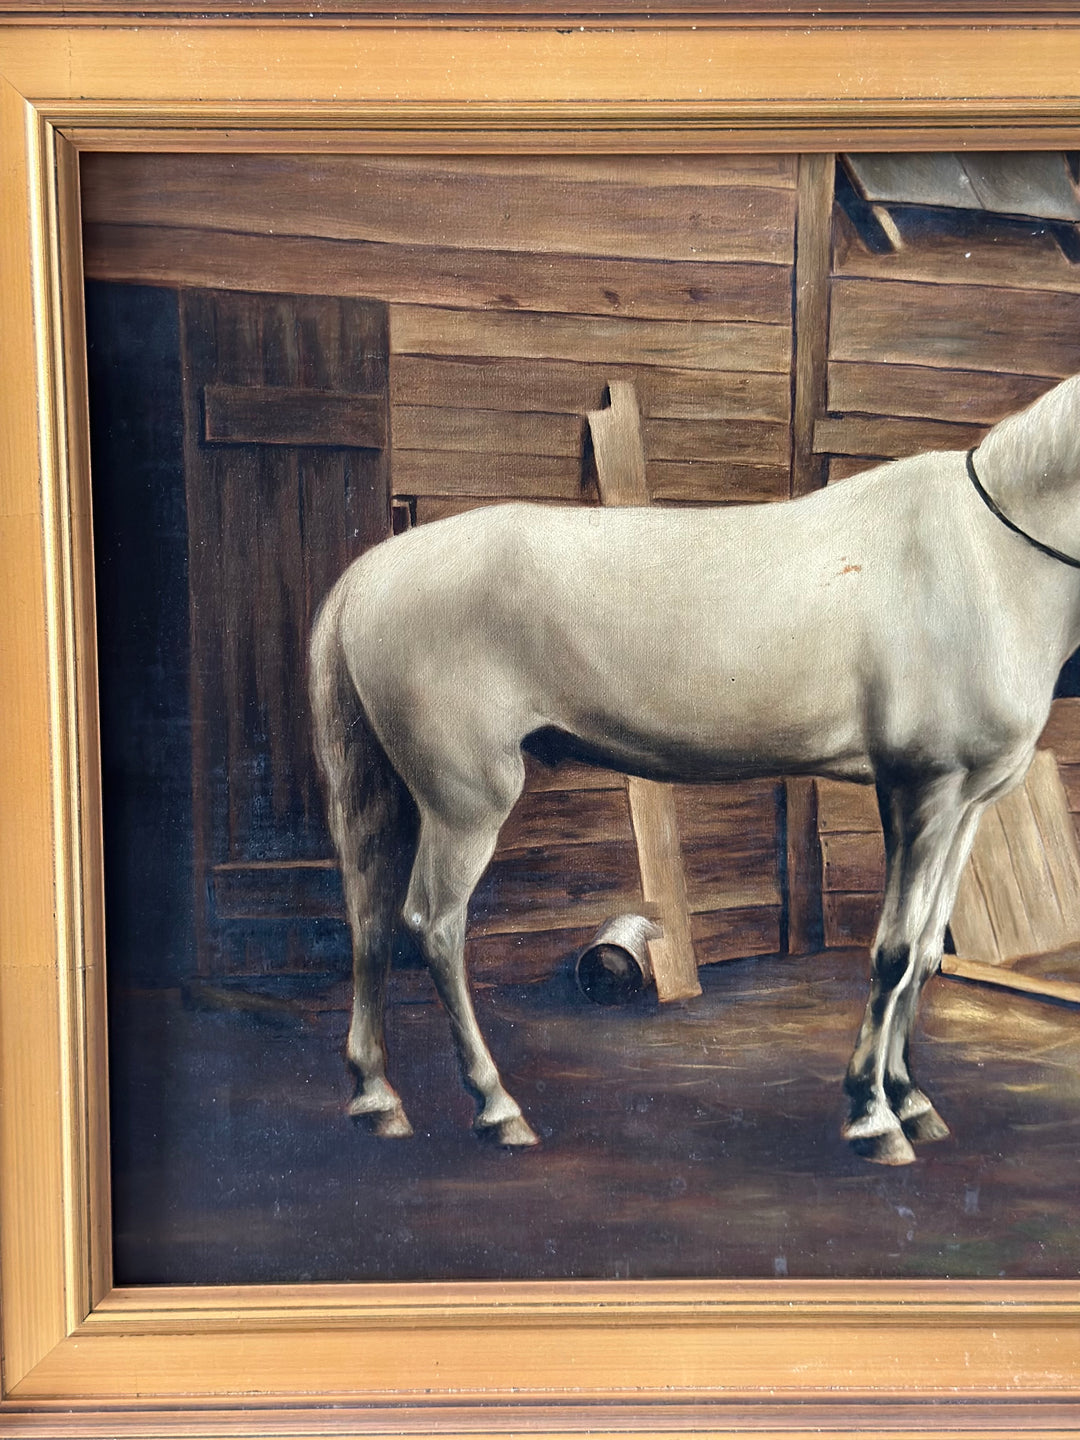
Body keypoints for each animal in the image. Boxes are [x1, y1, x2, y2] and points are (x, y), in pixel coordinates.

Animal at [309, 373, 1080, 1166]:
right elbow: (893, 955)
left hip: (389, 794)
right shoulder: (919, 790)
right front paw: (873, 1117)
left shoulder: (967, 803)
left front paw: (911, 1099)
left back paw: (376, 1098)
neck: (987, 555)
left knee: (368, 916)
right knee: (433, 926)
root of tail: (363, 579)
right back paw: (498, 1109)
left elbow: (925, 953)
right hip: (464, 802)